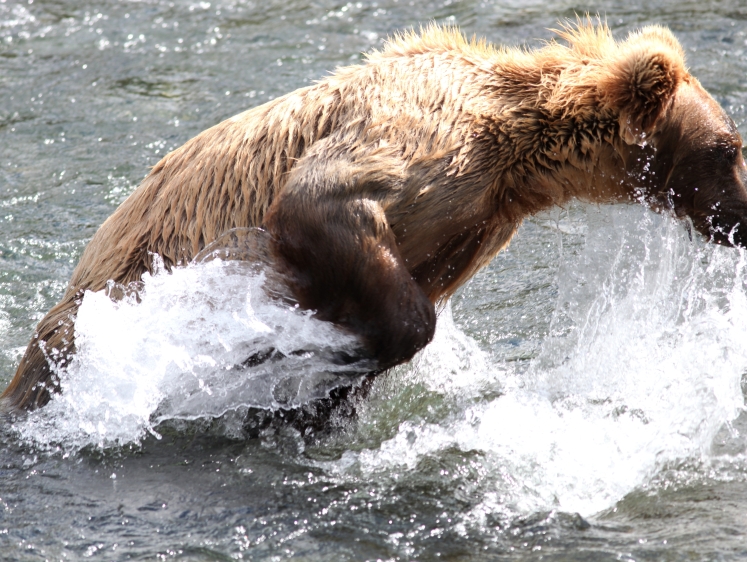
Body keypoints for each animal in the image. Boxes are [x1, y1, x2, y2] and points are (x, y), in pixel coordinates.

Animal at [4, 21, 747, 412]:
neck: (517, 154)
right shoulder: (422, 142)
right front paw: (314, 357)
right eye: (728, 146)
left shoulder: (473, 226)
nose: (742, 215)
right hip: (97, 306)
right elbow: (320, 204)